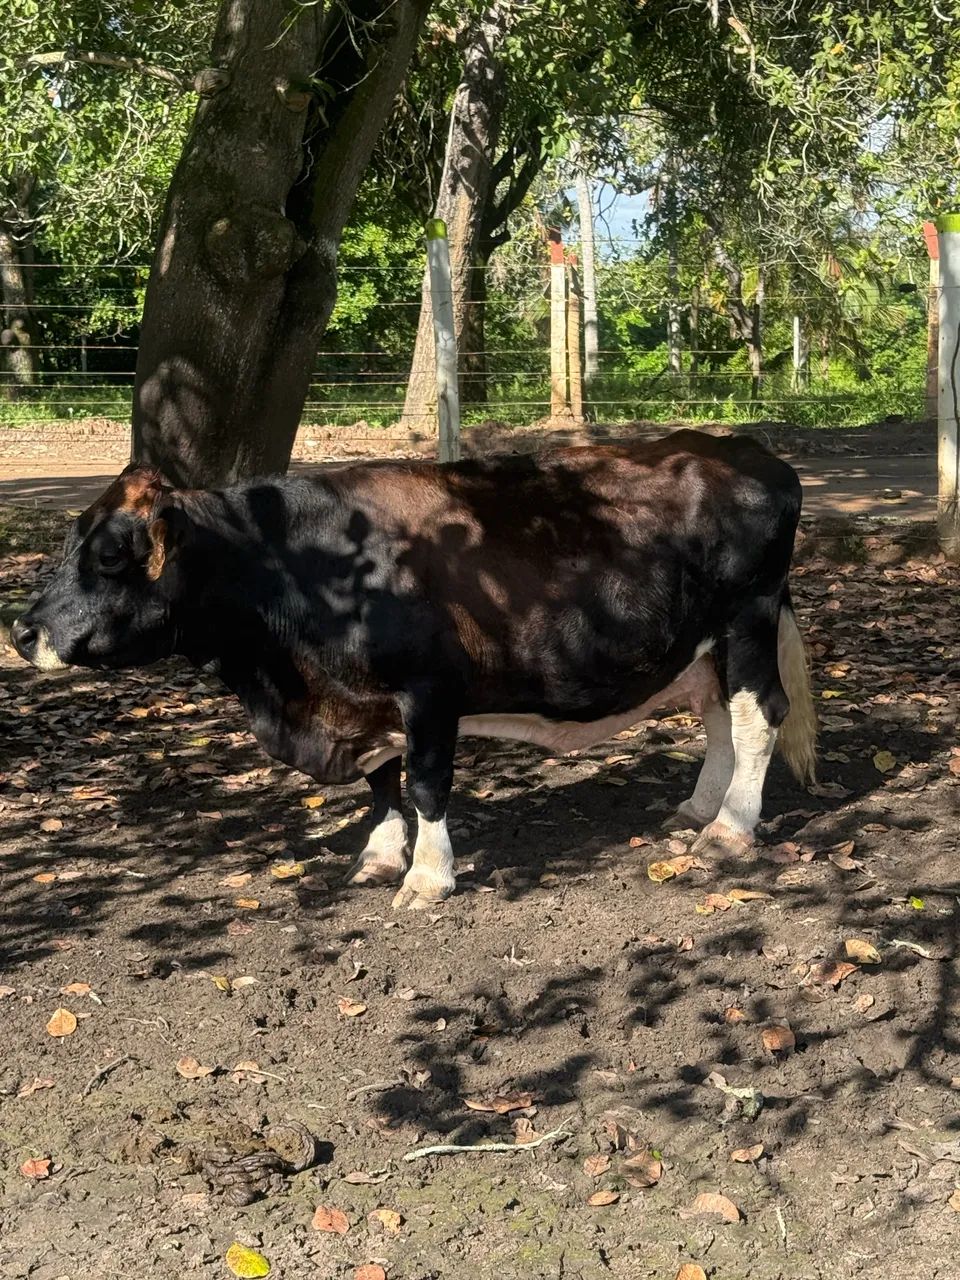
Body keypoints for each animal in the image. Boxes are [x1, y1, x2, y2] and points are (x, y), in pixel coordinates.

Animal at [11, 431, 816, 909]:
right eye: (70, 540)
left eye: (109, 555)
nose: (22, 631)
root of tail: (748, 452)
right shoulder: (360, 701)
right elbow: (381, 781)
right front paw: (377, 855)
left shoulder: (428, 691)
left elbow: (427, 782)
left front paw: (427, 876)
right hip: (705, 645)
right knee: (719, 717)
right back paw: (700, 807)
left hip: (747, 619)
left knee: (758, 716)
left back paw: (731, 831)